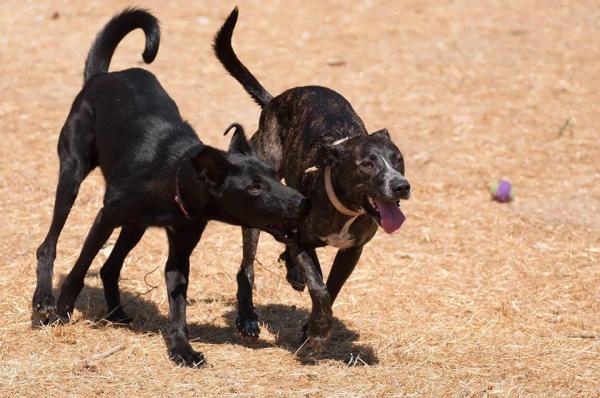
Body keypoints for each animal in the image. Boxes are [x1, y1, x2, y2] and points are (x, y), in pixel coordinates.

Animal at [31, 7, 304, 366]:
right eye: (255, 187)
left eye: (274, 175)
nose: (301, 200)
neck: (176, 176)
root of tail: (100, 77)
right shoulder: (105, 217)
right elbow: (79, 268)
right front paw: (62, 311)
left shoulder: (181, 248)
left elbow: (177, 303)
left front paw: (181, 348)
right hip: (73, 175)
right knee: (49, 244)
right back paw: (44, 300)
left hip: (135, 226)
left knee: (109, 267)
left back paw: (117, 313)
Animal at [213, 7, 410, 348]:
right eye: (367, 164)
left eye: (398, 159)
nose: (401, 186)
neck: (345, 207)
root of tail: (273, 101)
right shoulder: (304, 241)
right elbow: (320, 287)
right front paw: (317, 332)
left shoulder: (351, 251)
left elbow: (330, 288)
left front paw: (311, 327)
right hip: (255, 209)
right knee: (246, 269)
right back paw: (248, 318)